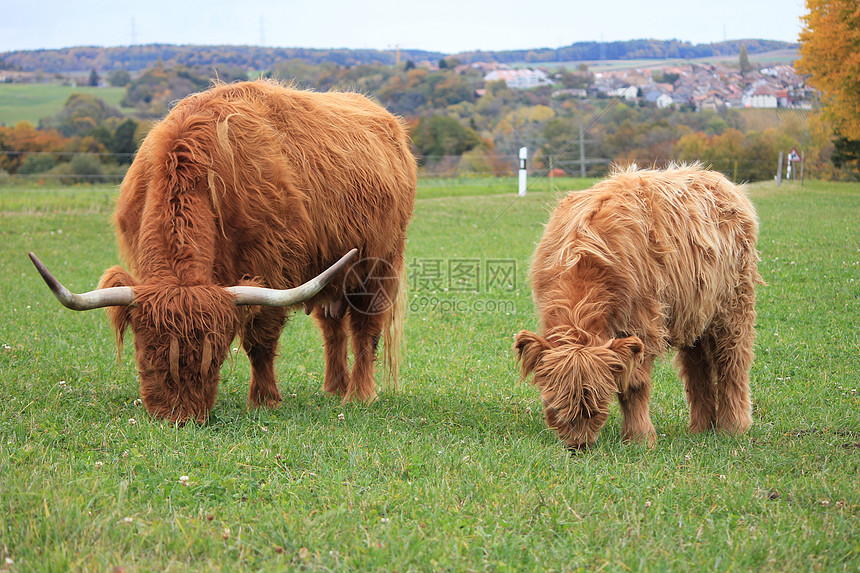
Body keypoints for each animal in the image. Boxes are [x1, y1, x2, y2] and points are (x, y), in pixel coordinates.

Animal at [28, 78, 414, 422]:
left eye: (213, 356)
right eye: (147, 353)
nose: (180, 417)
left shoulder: (272, 269)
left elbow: (260, 341)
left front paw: (264, 401)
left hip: (378, 265)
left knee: (365, 330)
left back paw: (358, 395)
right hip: (331, 271)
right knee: (332, 326)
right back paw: (333, 389)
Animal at [512, 163, 764, 450]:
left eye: (596, 408)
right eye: (553, 404)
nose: (578, 445)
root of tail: (717, 178)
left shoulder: (644, 325)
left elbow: (634, 385)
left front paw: (640, 438)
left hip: (734, 306)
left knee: (732, 362)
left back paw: (733, 426)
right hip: (694, 313)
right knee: (697, 366)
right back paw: (701, 427)